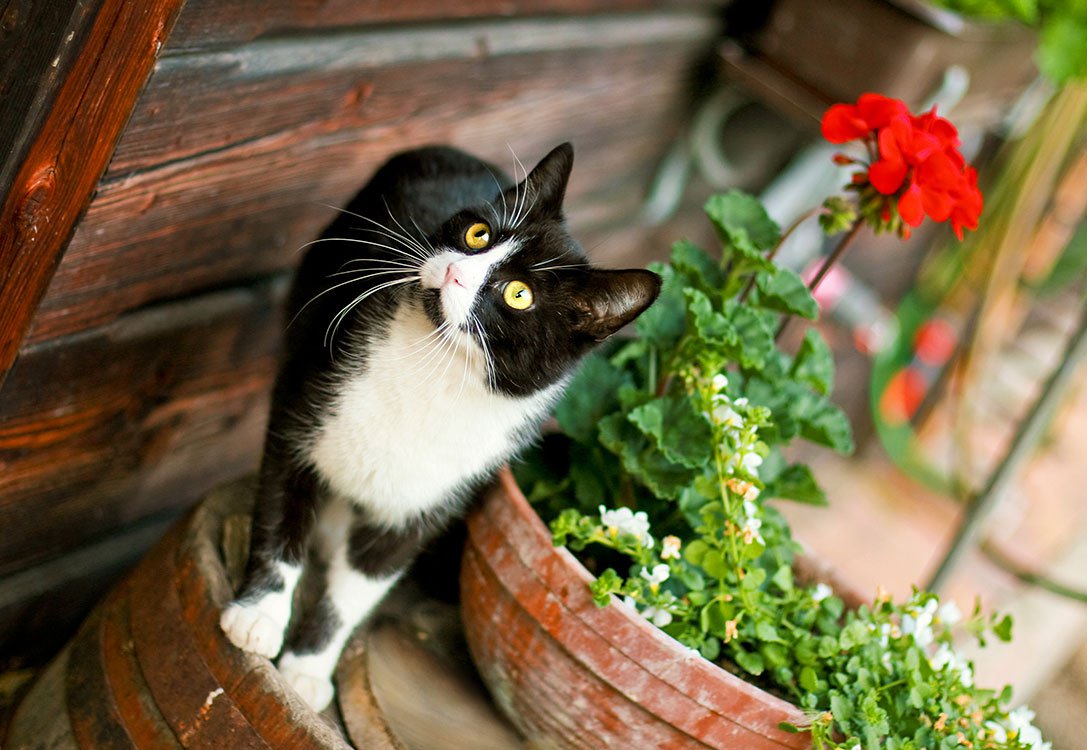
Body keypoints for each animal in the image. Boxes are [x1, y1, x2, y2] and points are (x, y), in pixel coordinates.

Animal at [219, 143, 656, 708]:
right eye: (478, 234)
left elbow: (360, 586)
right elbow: (280, 518)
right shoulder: (304, 400)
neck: (435, 368)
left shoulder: (436, 495)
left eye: (519, 294)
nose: (455, 272)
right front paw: (260, 617)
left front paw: (309, 668)